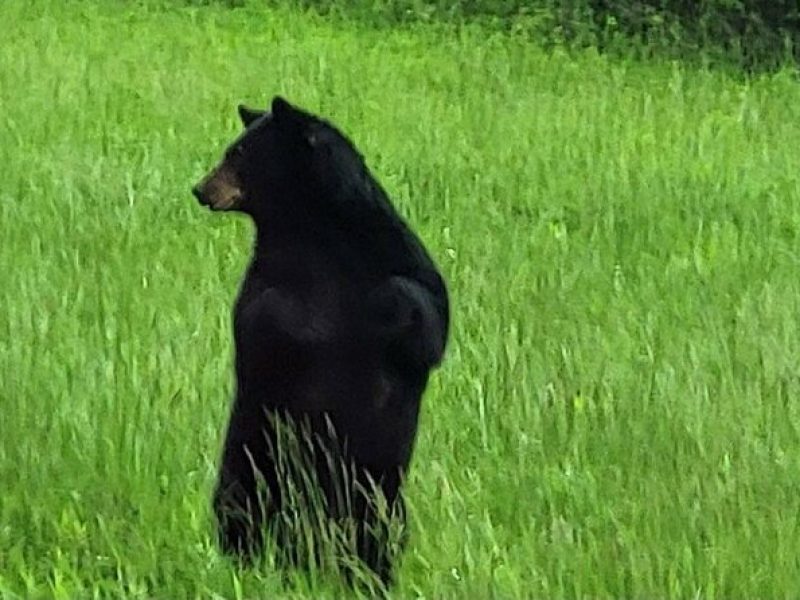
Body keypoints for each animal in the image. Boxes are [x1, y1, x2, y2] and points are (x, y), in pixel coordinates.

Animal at [191, 96, 446, 588]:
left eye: (238, 153)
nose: (200, 188)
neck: (312, 231)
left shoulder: (393, 250)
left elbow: (428, 314)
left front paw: (386, 306)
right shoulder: (268, 279)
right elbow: (262, 324)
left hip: (381, 490)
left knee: (379, 533)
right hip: (250, 466)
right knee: (241, 512)